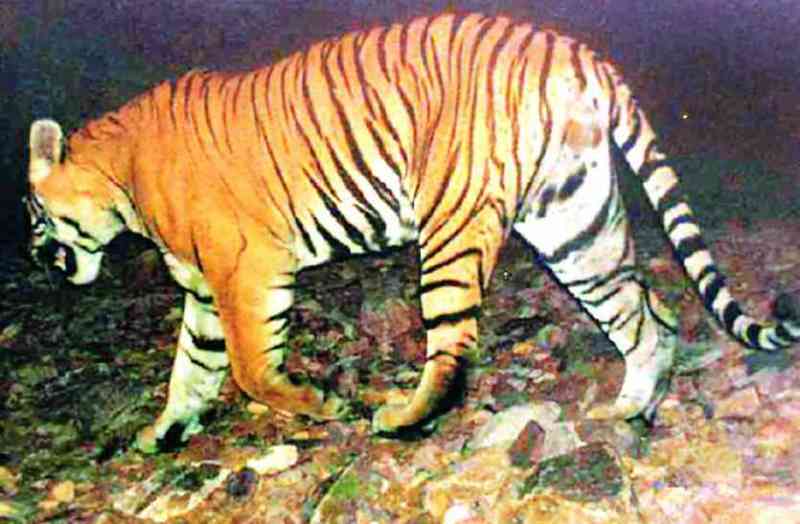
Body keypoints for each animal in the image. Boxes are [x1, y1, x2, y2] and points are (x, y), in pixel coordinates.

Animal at [25, 12, 799, 453]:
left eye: (31, 211)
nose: (36, 260)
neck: (120, 178)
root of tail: (572, 50)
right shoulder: (205, 290)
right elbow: (191, 367)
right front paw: (161, 433)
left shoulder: (248, 269)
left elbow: (247, 368)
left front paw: (320, 404)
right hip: (575, 223)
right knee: (647, 315)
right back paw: (632, 406)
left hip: (451, 221)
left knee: (455, 345)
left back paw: (401, 418)